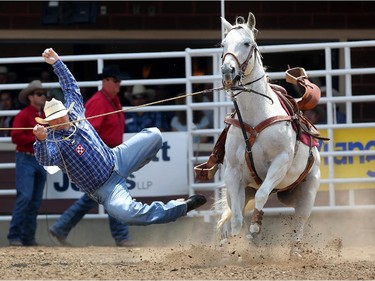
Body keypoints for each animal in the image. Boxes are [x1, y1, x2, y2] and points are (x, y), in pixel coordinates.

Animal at [219, 12, 322, 258]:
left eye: (247, 43)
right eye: (223, 44)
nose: (228, 71)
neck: (255, 116)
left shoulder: (280, 162)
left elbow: (263, 195)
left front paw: (255, 228)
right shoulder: (233, 173)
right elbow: (236, 217)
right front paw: (236, 243)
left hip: (308, 191)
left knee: (299, 222)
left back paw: (294, 253)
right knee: (233, 212)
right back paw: (225, 243)